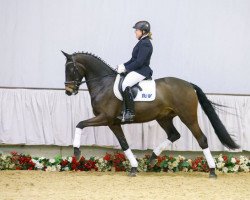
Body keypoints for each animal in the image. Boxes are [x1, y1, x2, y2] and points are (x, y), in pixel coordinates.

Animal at [61, 50, 239, 177]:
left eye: (71, 69)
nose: (69, 91)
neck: (103, 84)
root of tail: (189, 84)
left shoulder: (105, 118)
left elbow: (80, 124)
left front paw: (76, 152)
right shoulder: (114, 123)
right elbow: (124, 144)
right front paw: (134, 167)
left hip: (188, 117)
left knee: (201, 139)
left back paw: (212, 171)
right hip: (164, 118)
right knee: (174, 134)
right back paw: (153, 158)